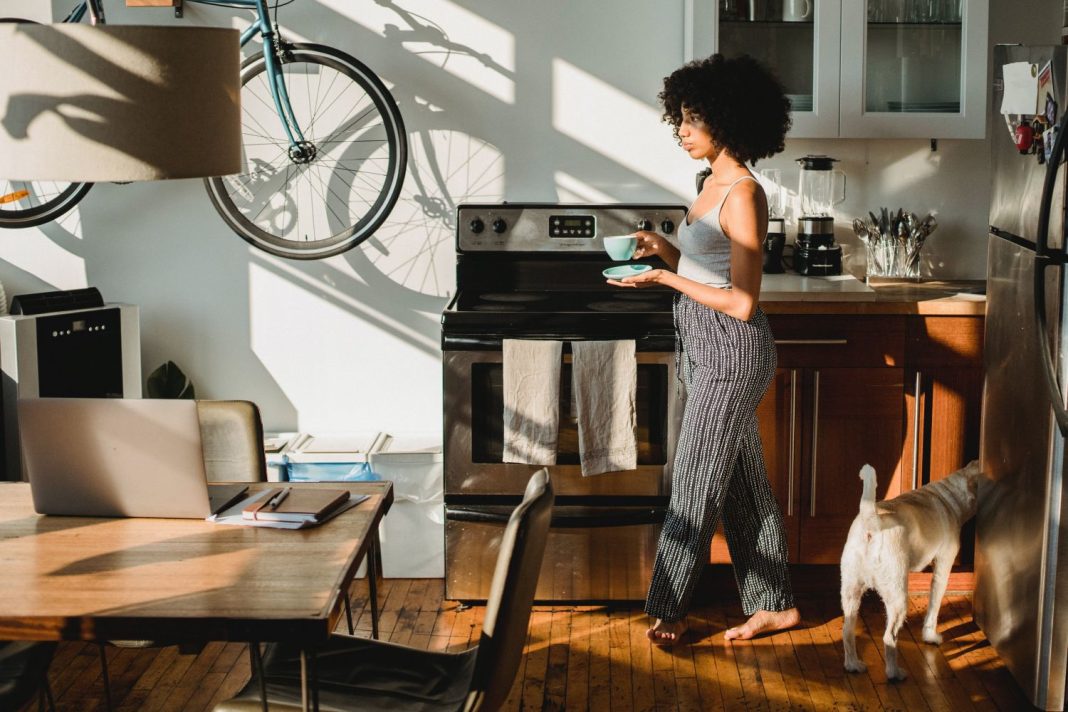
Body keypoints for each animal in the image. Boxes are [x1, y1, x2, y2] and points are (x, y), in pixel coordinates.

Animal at [837, 459, 978, 683]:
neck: (949, 496)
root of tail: (871, 520)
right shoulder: (943, 566)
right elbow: (934, 607)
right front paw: (931, 637)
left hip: (851, 592)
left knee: (847, 631)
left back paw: (853, 665)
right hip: (897, 599)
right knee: (889, 638)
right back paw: (894, 673)